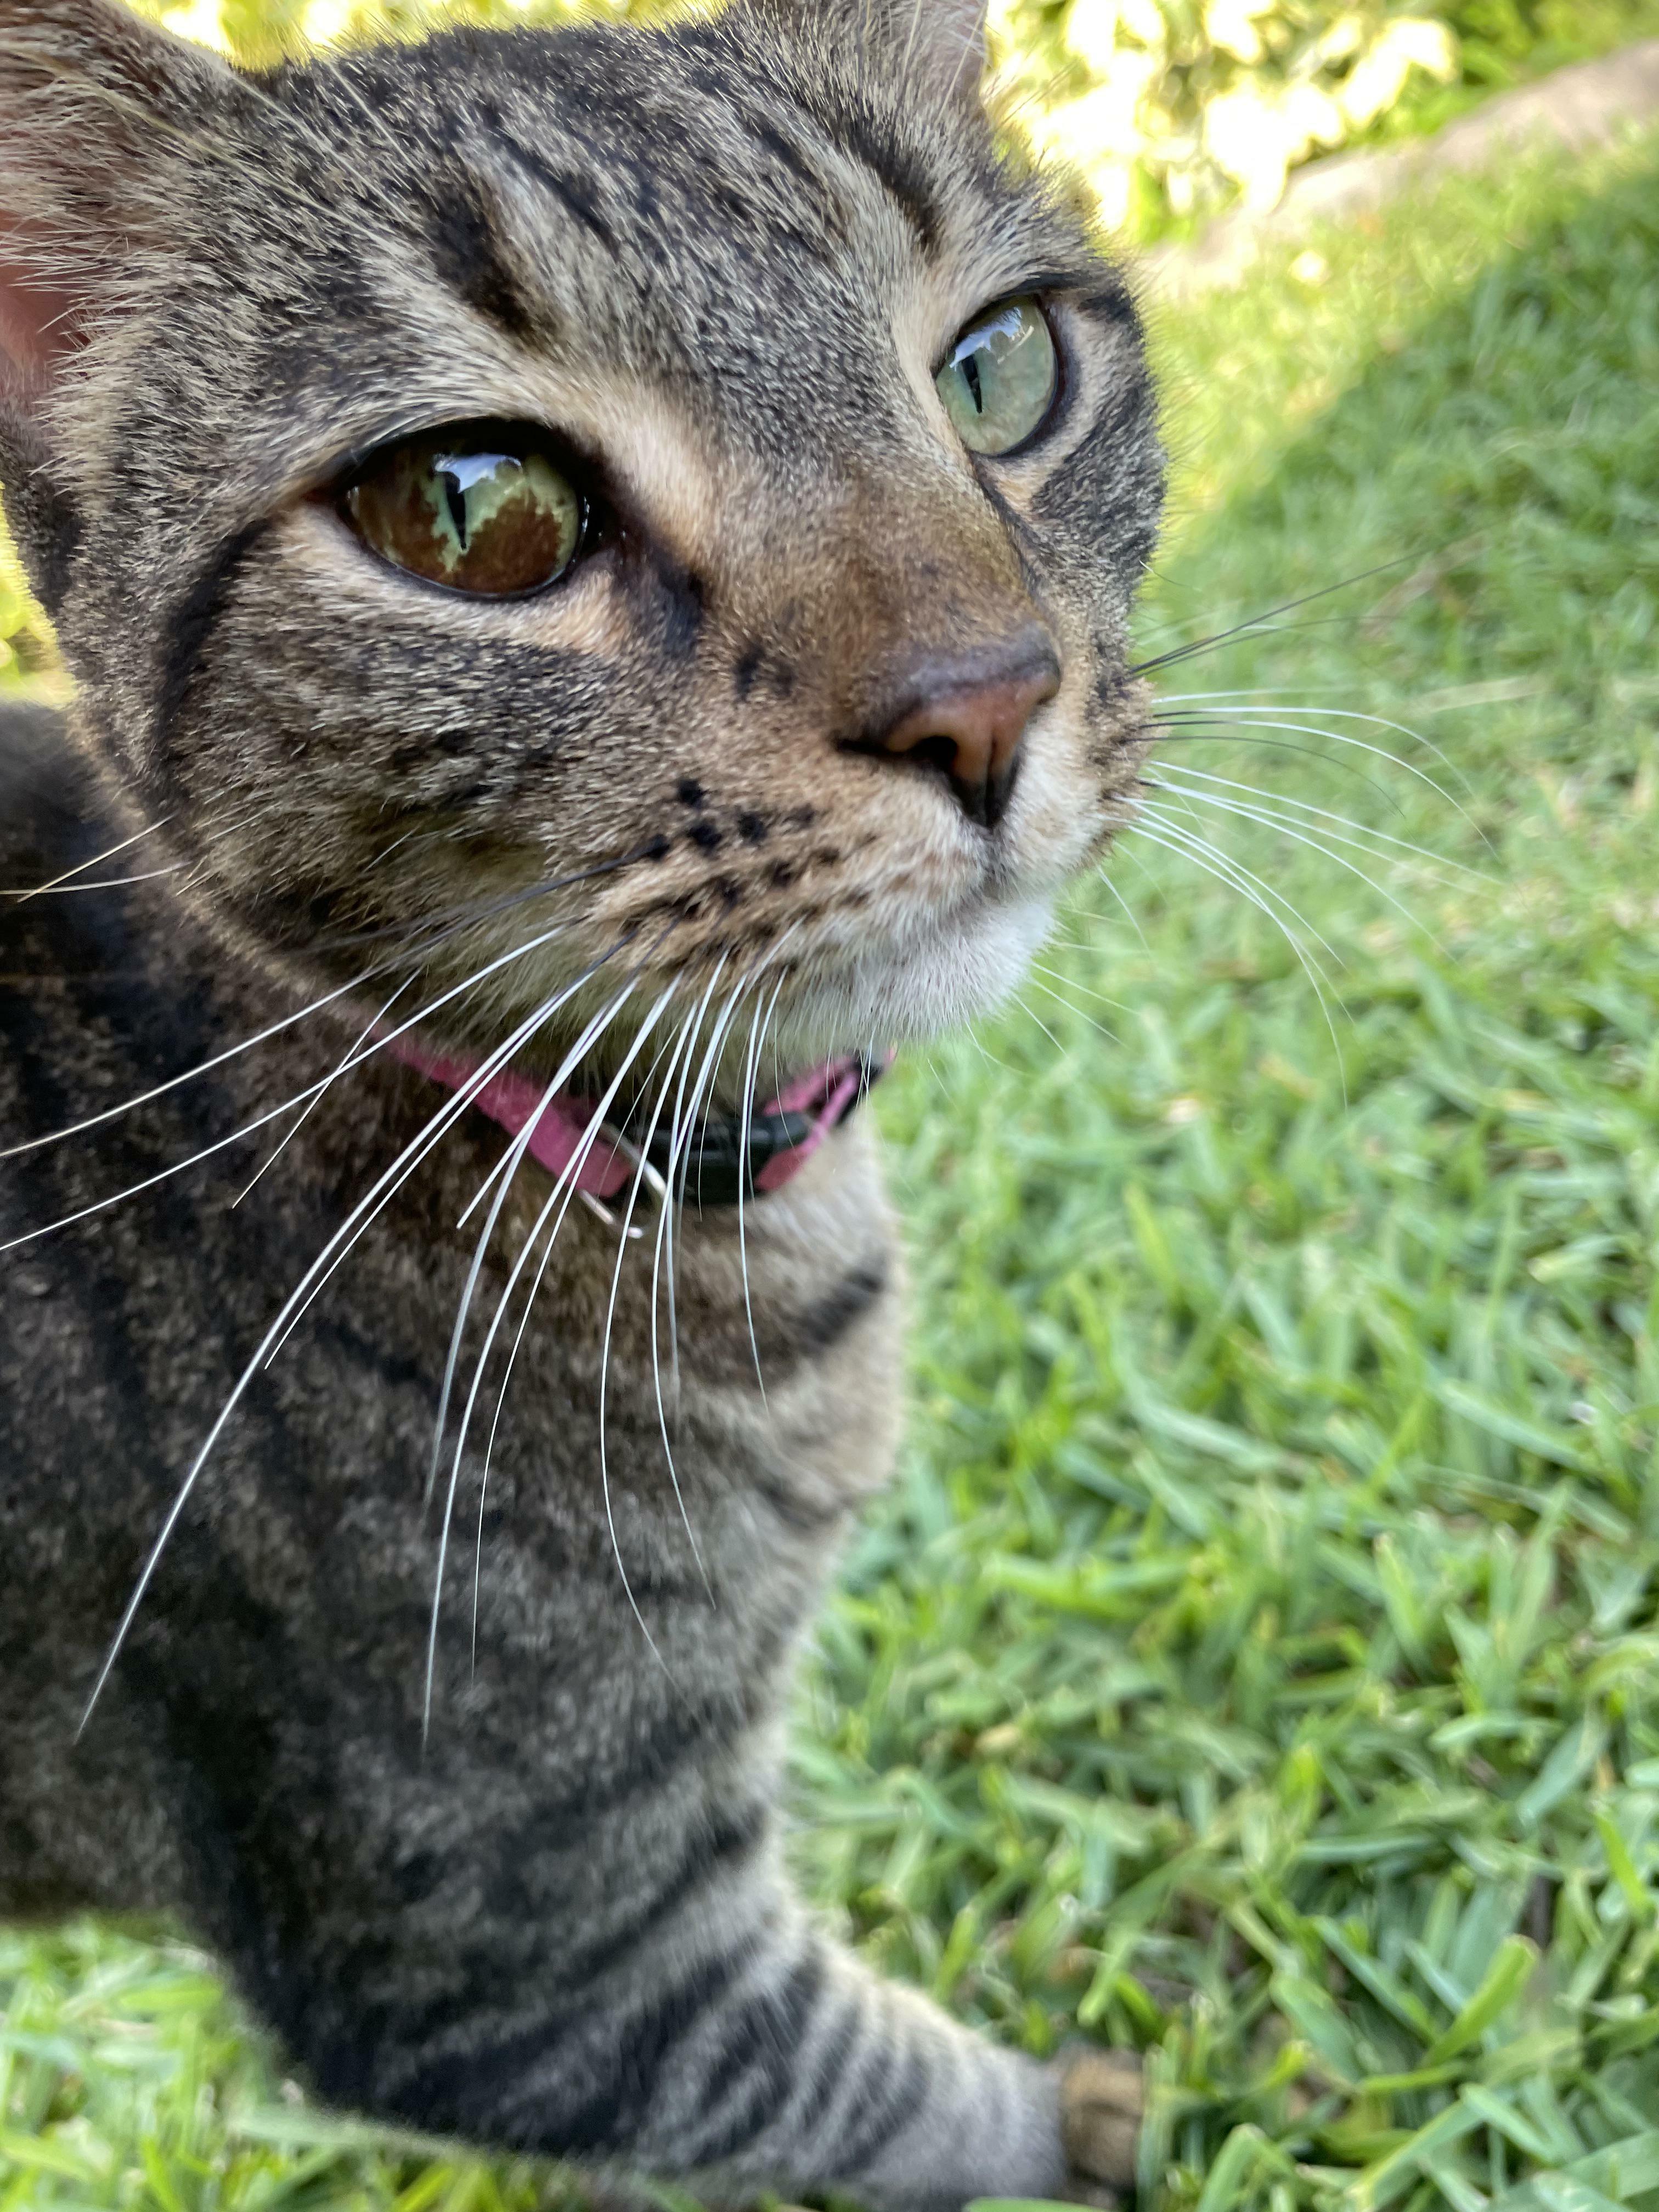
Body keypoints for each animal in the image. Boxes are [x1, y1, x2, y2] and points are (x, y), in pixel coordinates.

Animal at [0, 0, 1167, 2203]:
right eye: (475, 511)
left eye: (1002, 366)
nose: (986, 698)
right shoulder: (530, 1951)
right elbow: (865, 2085)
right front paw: (1084, 2123)